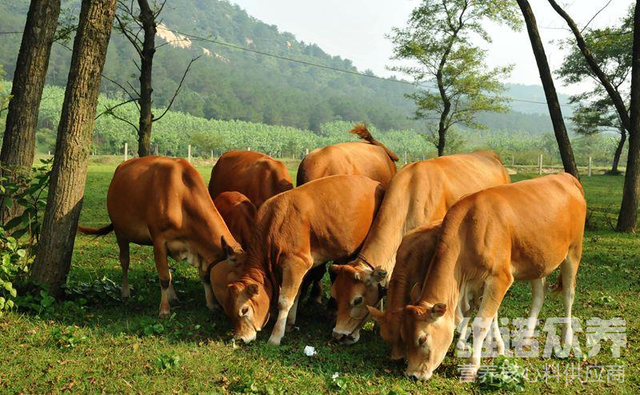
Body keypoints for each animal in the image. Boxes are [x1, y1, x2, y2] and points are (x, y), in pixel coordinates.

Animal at [77, 157, 242, 318]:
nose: (243, 311)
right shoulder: (159, 240)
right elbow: (163, 278)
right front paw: (164, 309)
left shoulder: (198, 247)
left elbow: (202, 276)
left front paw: (211, 304)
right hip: (120, 231)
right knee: (124, 261)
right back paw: (125, 293)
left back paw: (173, 296)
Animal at [219, 176, 384, 346]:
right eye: (228, 312)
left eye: (244, 310)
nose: (240, 338)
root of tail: (374, 182)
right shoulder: (300, 268)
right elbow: (296, 294)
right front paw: (290, 324)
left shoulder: (295, 264)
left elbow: (284, 300)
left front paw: (275, 336)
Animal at [402, 175, 588, 382]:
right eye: (403, 336)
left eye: (422, 338)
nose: (412, 374)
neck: (467, 230)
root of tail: (566, 177)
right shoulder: (480, 282)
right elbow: (493, 317)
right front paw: (497, 347)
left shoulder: (499, 278)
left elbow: (481, 323)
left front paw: (472, 367)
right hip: (537, 260)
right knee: (539, 295)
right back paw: (525, 338)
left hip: (573, 251)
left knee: (568, 296)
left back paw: (566, 340)